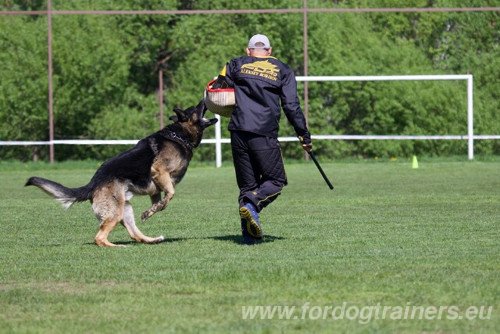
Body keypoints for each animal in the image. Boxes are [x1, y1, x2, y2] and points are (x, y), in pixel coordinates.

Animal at [25, 100, 217, 247]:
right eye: (195, 108)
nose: (203, 99)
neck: (179, 135)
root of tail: (93, 183)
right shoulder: (159, 171)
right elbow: (170, 194)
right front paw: (159, 206)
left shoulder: (155, 187)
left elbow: (159, 201)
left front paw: (151, 211)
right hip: (116, 212)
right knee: (99, 238)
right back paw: (118, 246)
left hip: (125, 208)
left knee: (134, 234)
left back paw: (152, 240)